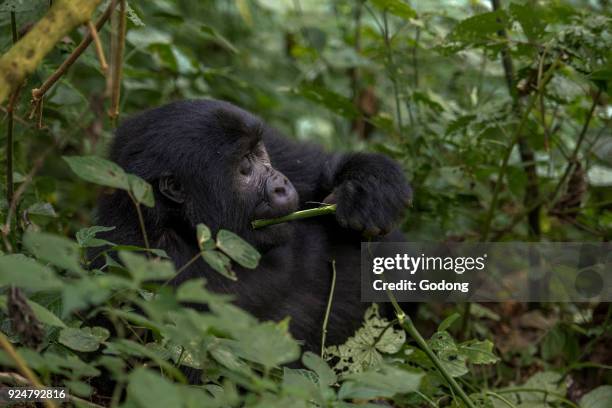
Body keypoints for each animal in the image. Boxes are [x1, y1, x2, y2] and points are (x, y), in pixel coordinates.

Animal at [93, 99, 412, 354]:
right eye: (244, 169)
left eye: (260, 153)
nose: (282, 185)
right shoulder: (143, 264)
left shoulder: (279, 150)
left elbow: (319, 168)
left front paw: (369, 187)